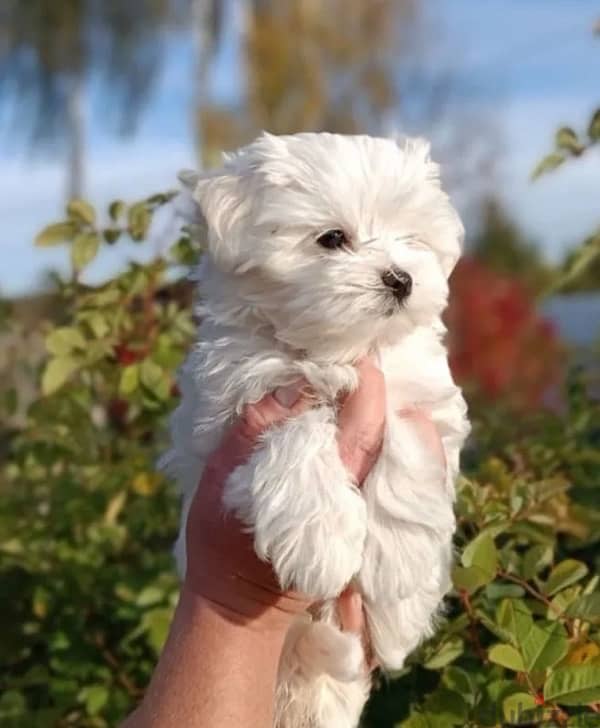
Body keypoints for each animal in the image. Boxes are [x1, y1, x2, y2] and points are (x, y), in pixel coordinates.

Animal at [162, 132, 472, 728]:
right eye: (332, 239)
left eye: (411, 240)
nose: (402, 278)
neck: (337, 352)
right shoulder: (231, 414)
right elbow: (298, 428)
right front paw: (319, 537)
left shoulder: (422, 401)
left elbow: (406, 447)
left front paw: (397, 563)